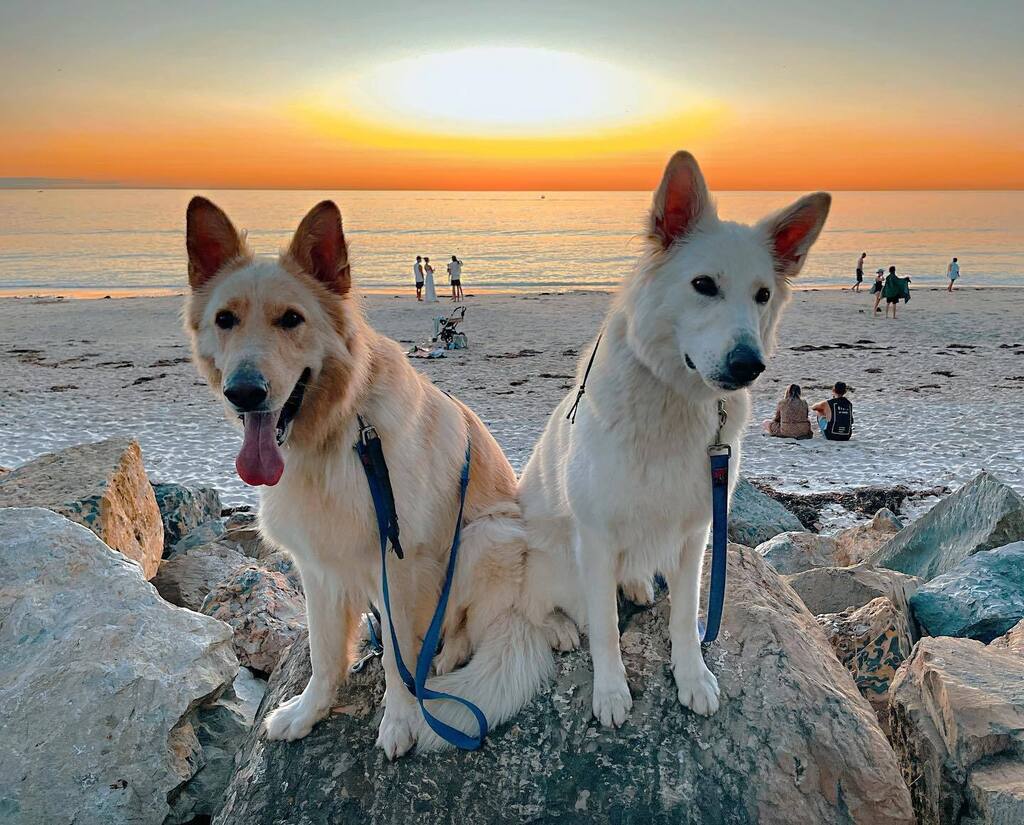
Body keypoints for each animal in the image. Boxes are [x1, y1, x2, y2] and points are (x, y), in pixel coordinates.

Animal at [520, 151, 831, 728]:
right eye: (704, 285)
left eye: (763, 295)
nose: (749, 365)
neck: (673, 400)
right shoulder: (595, 538)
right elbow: (604, 628)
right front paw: (611, 692)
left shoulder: (695, 534)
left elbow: (687, 618)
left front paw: (693, 677)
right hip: (547, 557)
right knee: (532, 602)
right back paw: (560, 625)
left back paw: (637, 585)